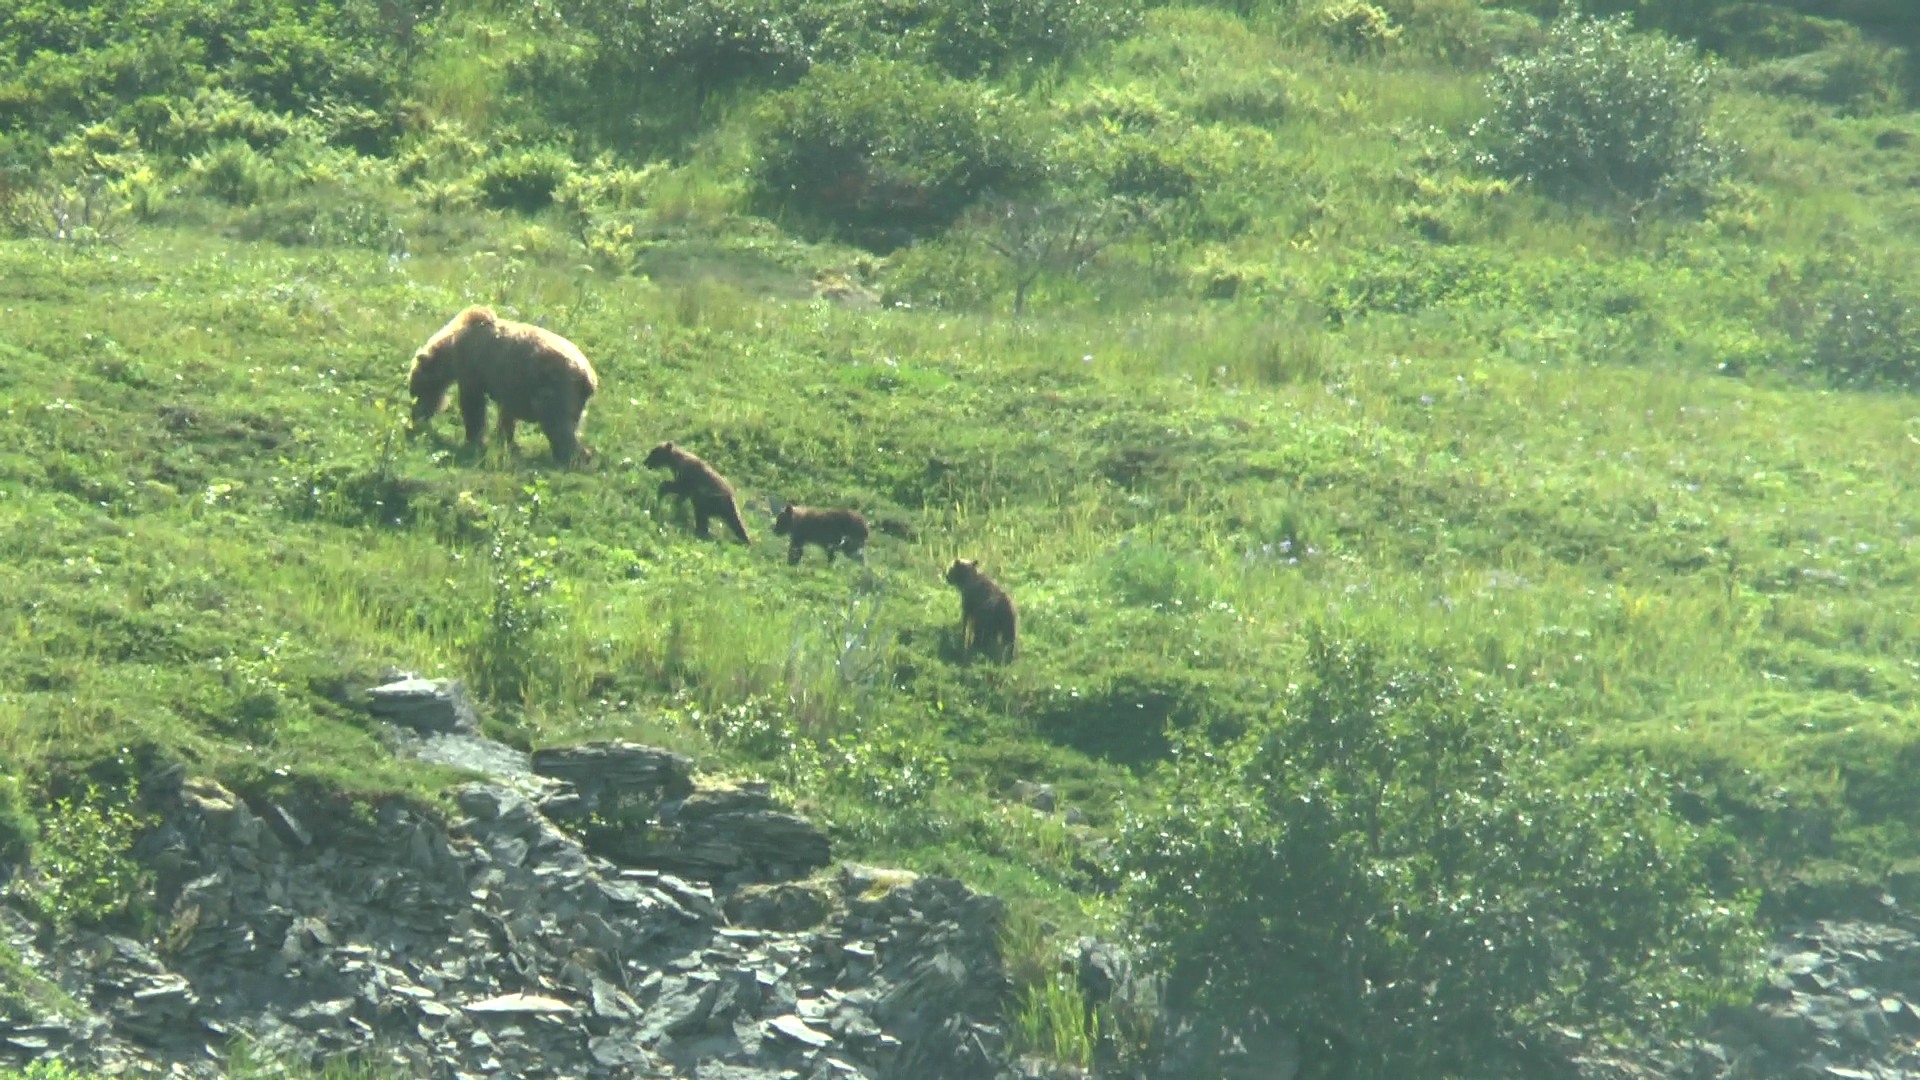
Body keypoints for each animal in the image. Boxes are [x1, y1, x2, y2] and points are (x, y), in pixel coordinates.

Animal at [407, 305, 598, 465]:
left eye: (415, 389)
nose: (415, 417)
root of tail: (589, 378)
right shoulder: (510, 383)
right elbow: (506, 414)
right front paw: (504, 441)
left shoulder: (473, 367)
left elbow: (473, 405)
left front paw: (474, 440)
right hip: (575, 400)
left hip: (556, 389)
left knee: (558, 425)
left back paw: (571, 459)